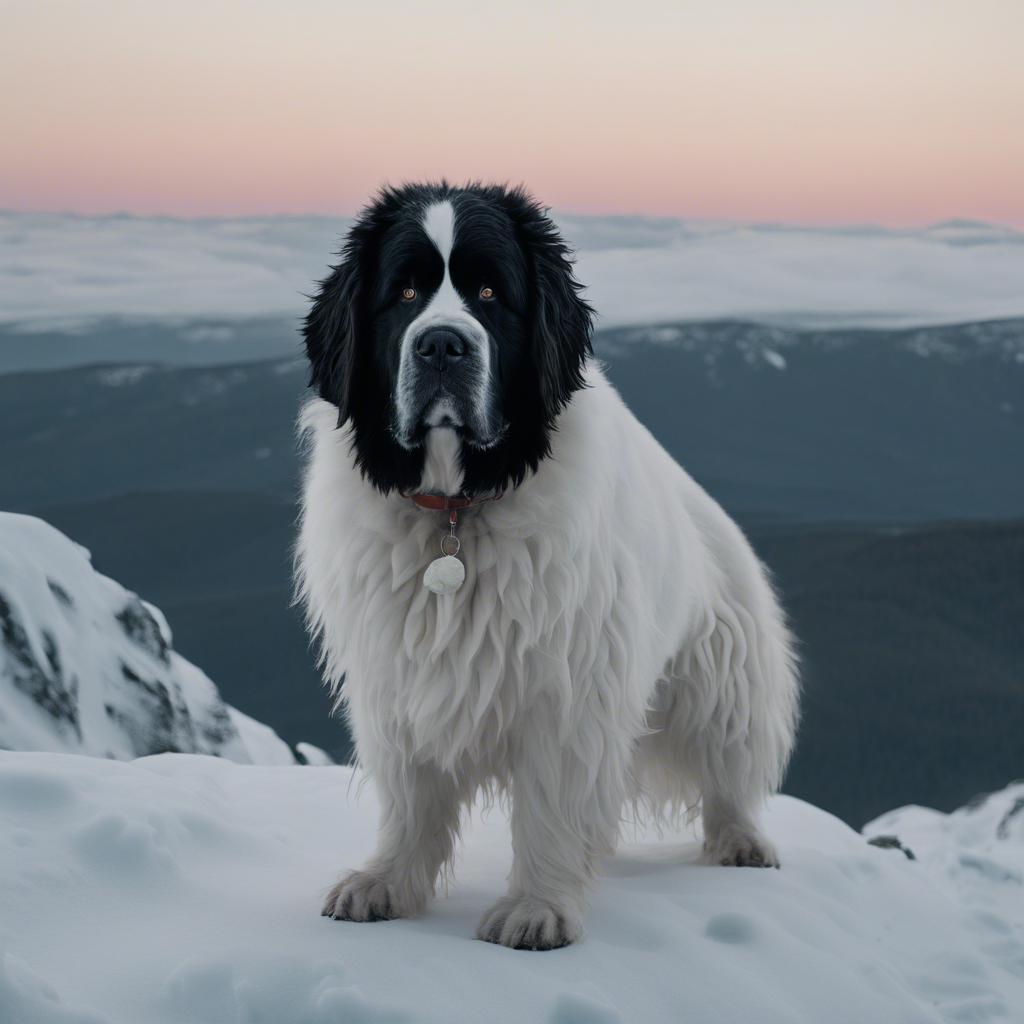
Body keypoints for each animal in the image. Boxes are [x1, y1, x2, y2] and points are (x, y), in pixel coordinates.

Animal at [296, 184, 798, 950]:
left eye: (490, 291)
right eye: (404, 292)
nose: (442, 344)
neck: (457, 511)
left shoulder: (570, 680)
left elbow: (552, 800)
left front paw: (537, 907)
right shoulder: (400, 670)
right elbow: (411, 798)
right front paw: (386, 882)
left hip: (724, 671)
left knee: (728, 766)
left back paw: (740, 841)